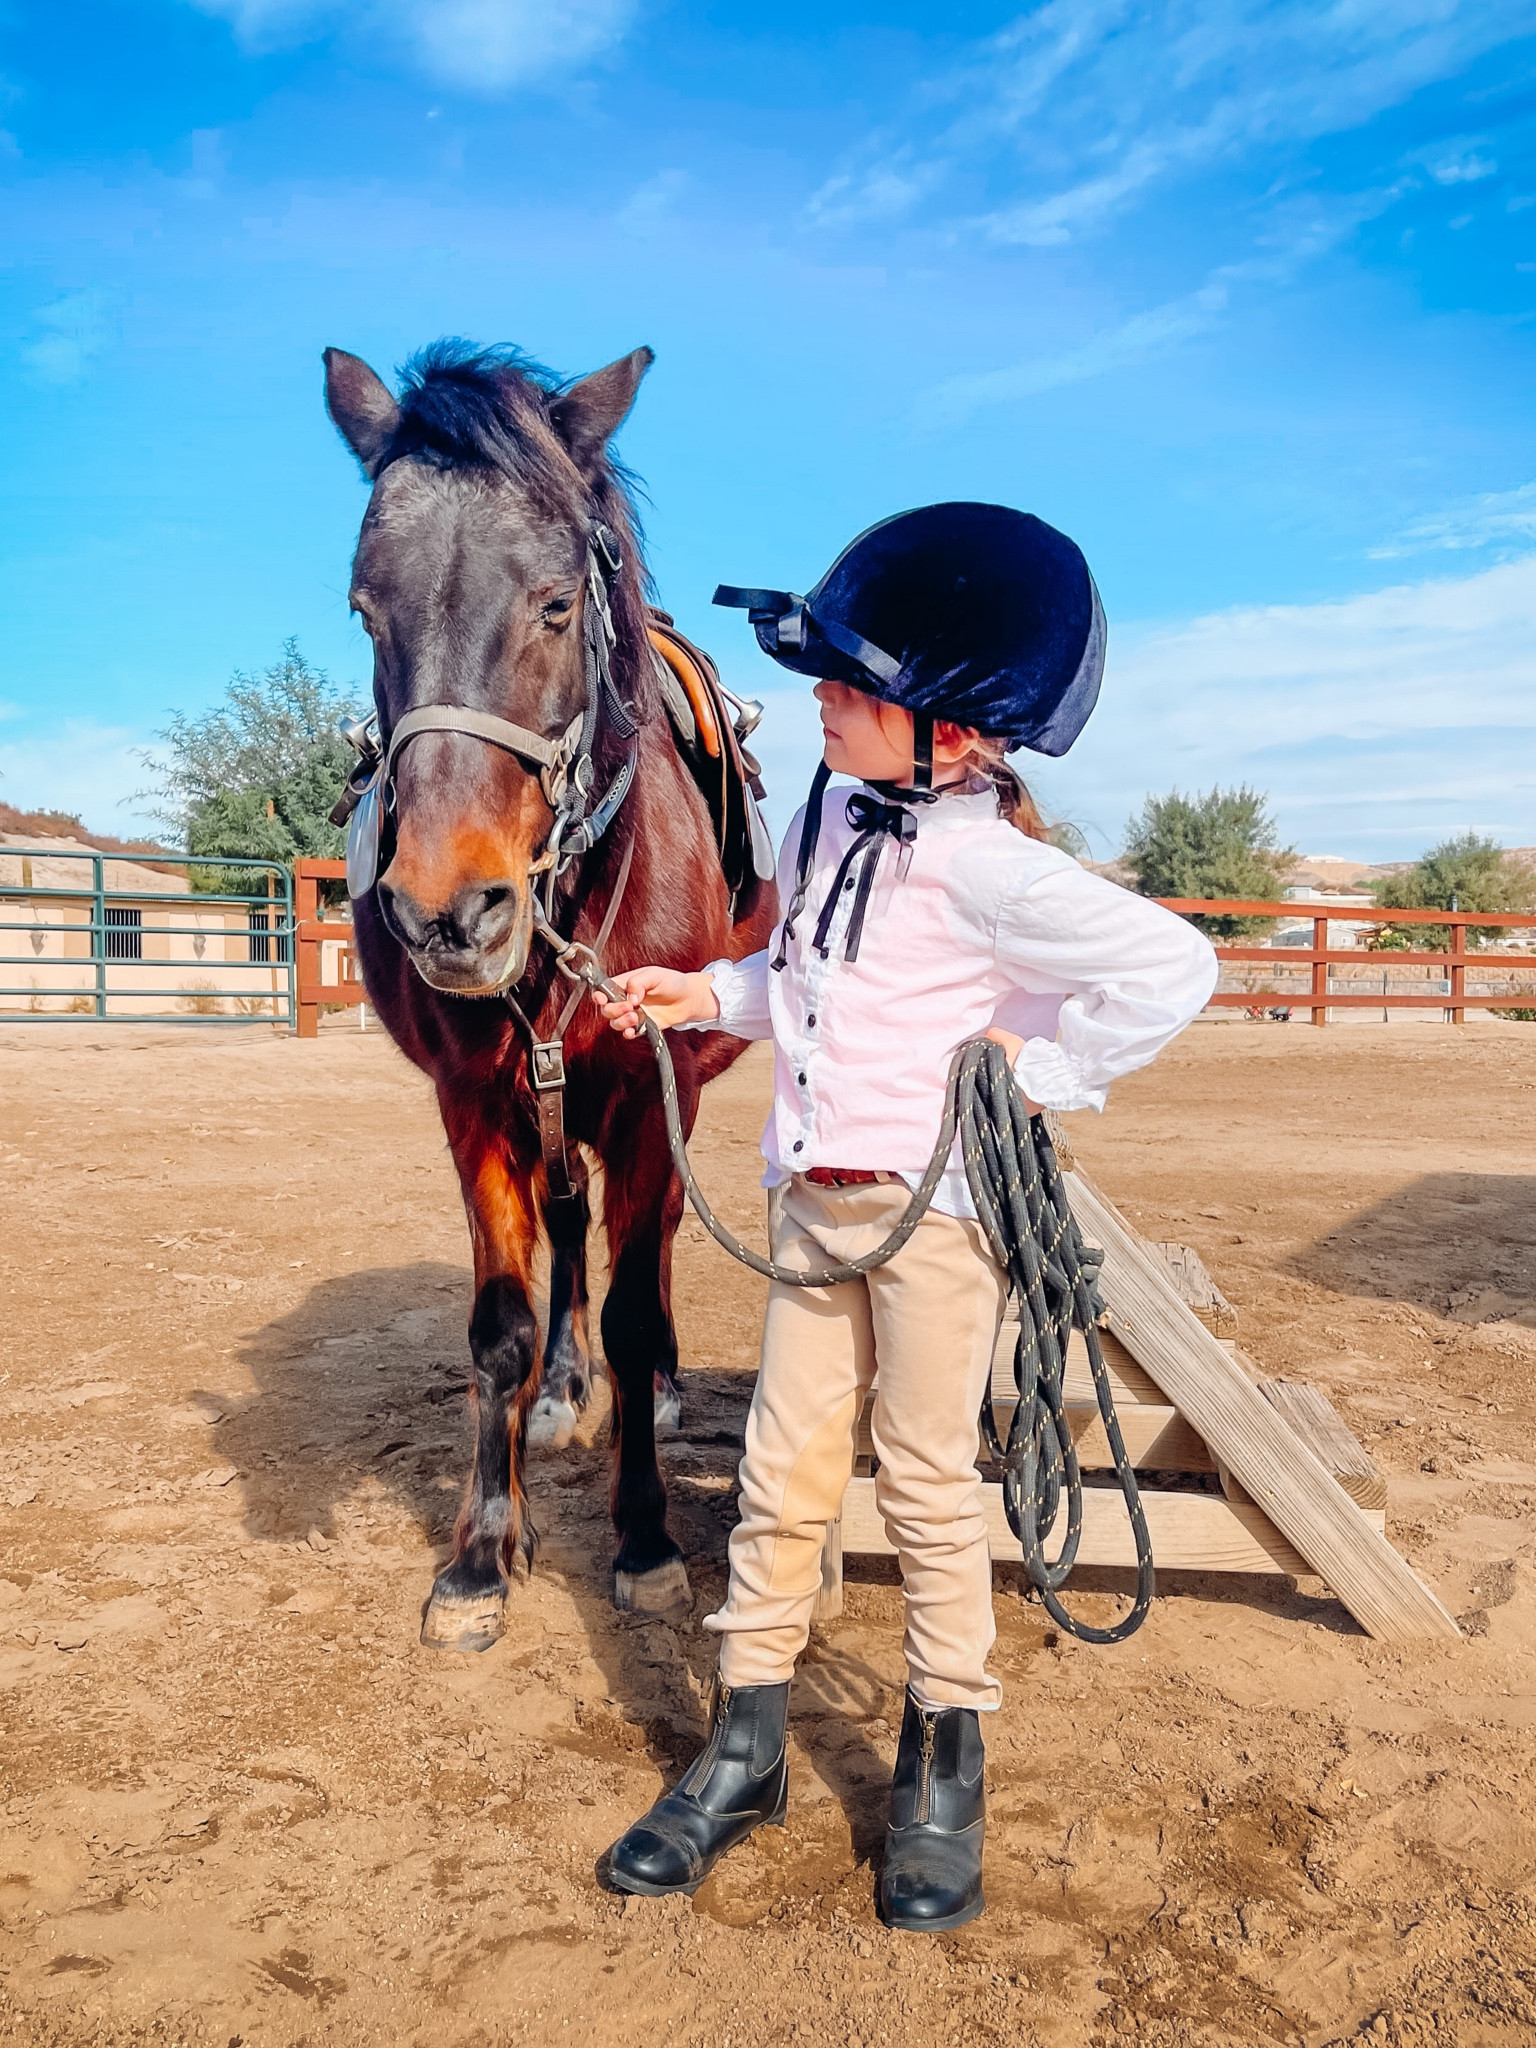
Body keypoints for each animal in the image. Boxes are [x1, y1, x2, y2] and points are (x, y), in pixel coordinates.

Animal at [322, 338, 778, 1649]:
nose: (446, 907)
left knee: (652, 1243)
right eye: (366, 607)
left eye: (556, 603)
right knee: (573, 1233)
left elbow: (632, 1304)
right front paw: (482, 1551)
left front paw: (644, 1538)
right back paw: (568, 1390)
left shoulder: (647, 1088)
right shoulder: (475, 1102)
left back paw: (653, 1390)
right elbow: (501, 1328)